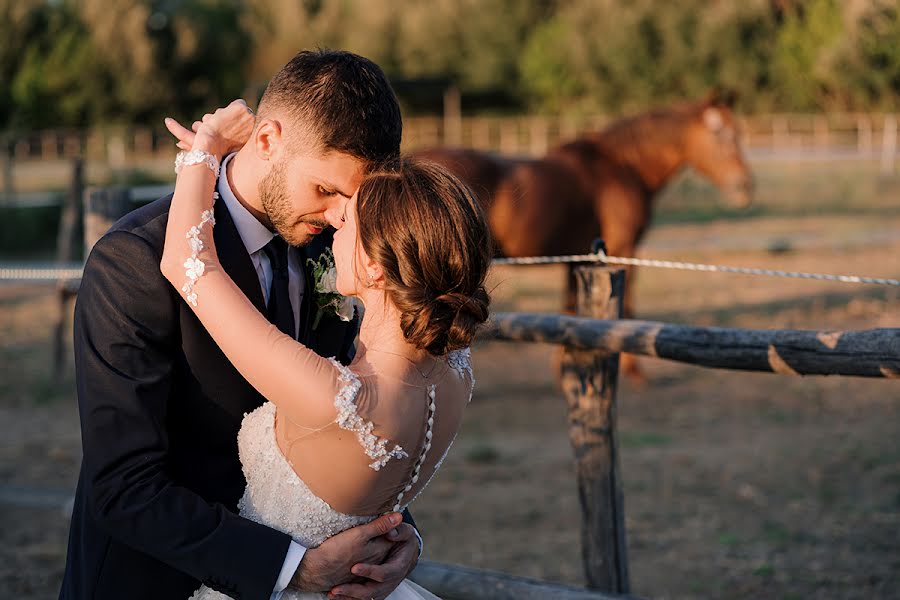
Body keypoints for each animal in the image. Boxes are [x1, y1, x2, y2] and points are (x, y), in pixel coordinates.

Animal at [414, 91, 752, 378]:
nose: (744, 185)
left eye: (738, 132)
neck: (622, 167)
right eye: (721, 134)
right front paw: (633, 371)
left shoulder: (578, 256)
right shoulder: (623, 248)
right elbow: (626, 307)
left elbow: (570, 309)